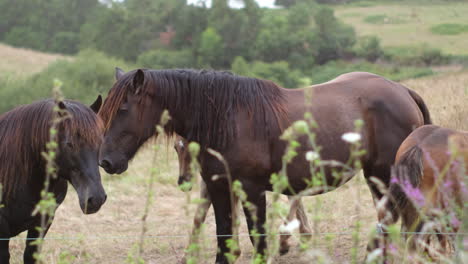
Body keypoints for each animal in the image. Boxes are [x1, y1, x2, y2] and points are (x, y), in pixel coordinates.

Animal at [98, 69, 432, 262]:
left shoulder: (251, 190)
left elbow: (257, 239)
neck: (228, 119)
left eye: (124, 108)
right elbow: (224, 238)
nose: (106, 161)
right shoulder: (220, 187)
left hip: (384, 175)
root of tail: (404, 91)